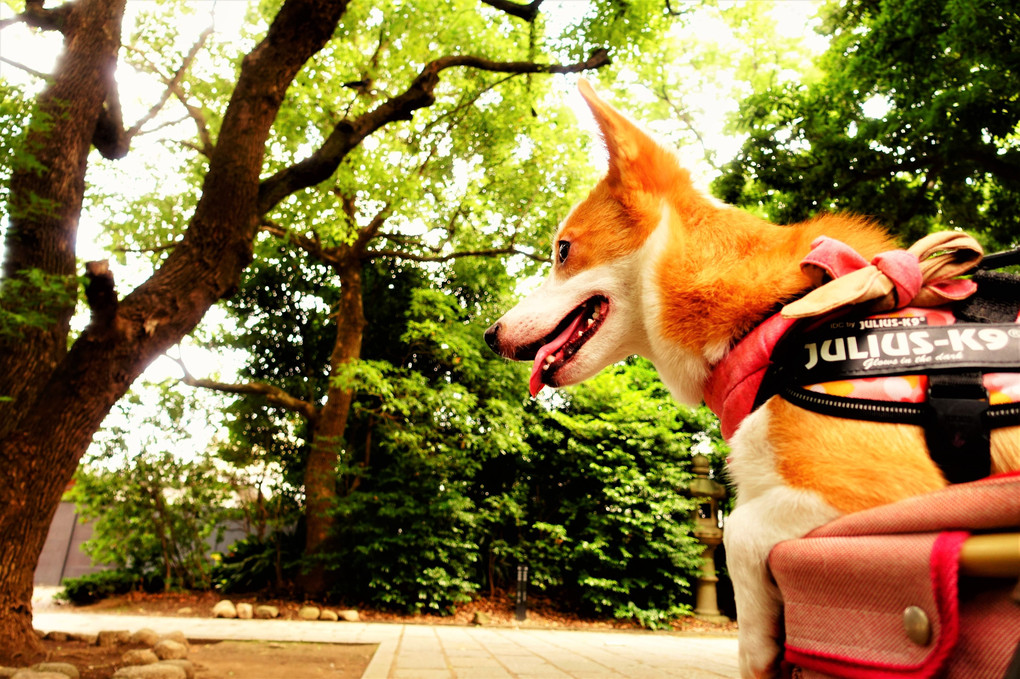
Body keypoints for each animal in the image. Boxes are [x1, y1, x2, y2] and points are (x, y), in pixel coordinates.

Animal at [485, 80, 1020, 676]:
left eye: (563, 250)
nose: (490, 334)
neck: (774, 319)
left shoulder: (891, 491)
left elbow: (738, 531)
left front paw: (759, 648)